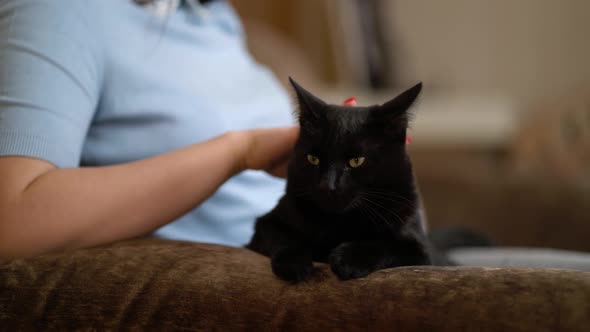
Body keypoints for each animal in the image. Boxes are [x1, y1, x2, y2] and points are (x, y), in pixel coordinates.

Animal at [246, 78, 444, 282]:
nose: (327, 185)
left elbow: (386, 245)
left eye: (356, 161)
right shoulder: (266, 223)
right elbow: (282, 236)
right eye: (313, 159)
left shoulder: (421, 251)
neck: (338, 222)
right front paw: (294, 263)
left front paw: (349, 259)